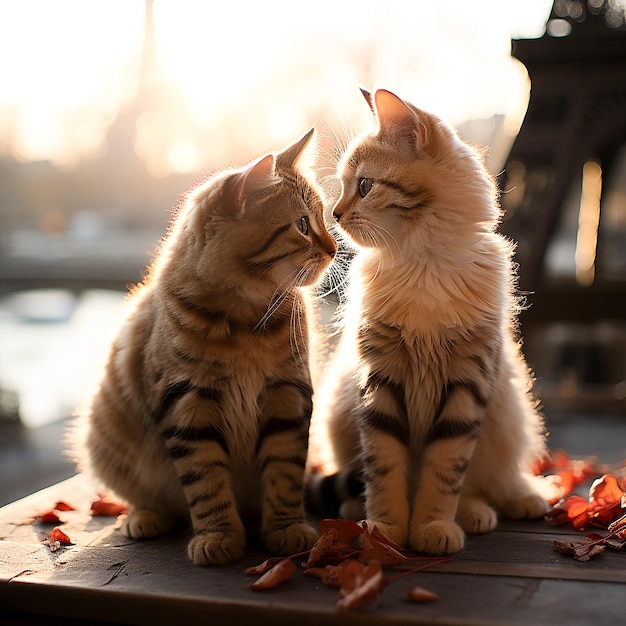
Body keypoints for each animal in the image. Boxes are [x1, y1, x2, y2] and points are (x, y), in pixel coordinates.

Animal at [77, 129, 336, 564]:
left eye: (324, 218)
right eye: (302, 224)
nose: (335, 248)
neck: (245, 319)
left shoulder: (287, 396)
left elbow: (284, 473)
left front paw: (285, 528)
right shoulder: (187, 403)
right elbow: (206, 483)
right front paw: (218, 536)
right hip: (107, 436)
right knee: (151, 498)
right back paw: (145, 517)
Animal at [308, 89, 552, 556]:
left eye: (363, 186)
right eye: (343, 187)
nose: (335, 214)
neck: (422, 266)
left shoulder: (467, 386)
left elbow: (445, 473)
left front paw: (433, 526)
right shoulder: (379, 383)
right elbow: (384, 469)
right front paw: (384, 531)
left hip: (507, 417)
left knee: (493, 484)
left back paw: (497, 506)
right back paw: (355, 512)